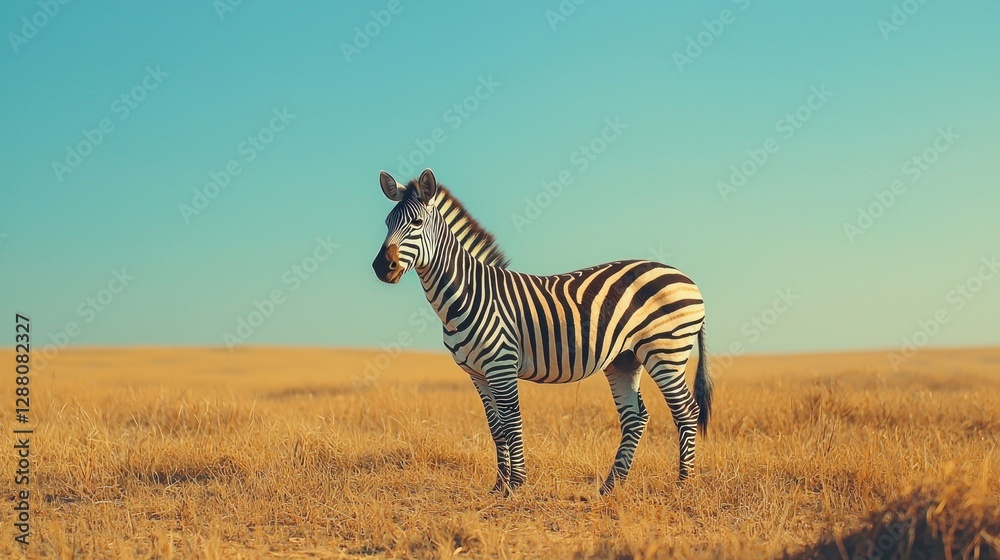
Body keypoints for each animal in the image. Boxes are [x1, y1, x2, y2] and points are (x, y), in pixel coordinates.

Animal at [371, 168, 713, 495]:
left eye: (416, 222)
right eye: (387, 223)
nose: (381, 267)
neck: (470, 293)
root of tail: (687, 278)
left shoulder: (501, 365)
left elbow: (512, 422)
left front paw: (516, 484)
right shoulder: (477, 374)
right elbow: (496, 428)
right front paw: (498, 486)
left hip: (665, 351)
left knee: (686, 411)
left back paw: (683, 484)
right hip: (625, 359)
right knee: (635, 417)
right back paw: (610, 486)